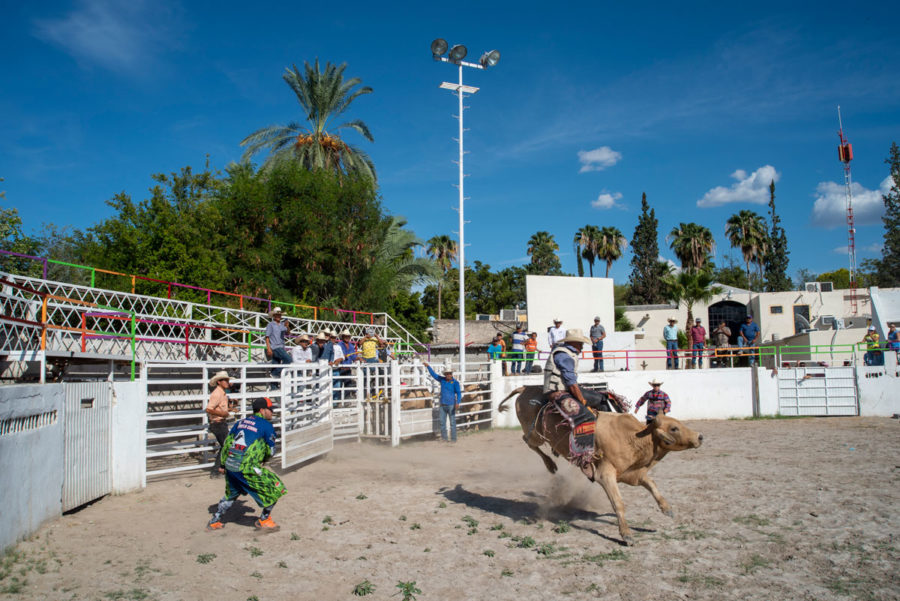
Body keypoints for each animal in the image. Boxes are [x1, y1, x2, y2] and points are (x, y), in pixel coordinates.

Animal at [500, 384, 704, 544]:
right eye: (674, 428)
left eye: (678, 423)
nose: (699, 436)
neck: (632, 438)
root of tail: (526, 388)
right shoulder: (605, 475)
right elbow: (618, 503)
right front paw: (626, 535)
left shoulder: (633, 474)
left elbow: (652, 485)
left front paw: (667, 509)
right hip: (535, 434)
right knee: (527, 440)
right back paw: (550, 464)